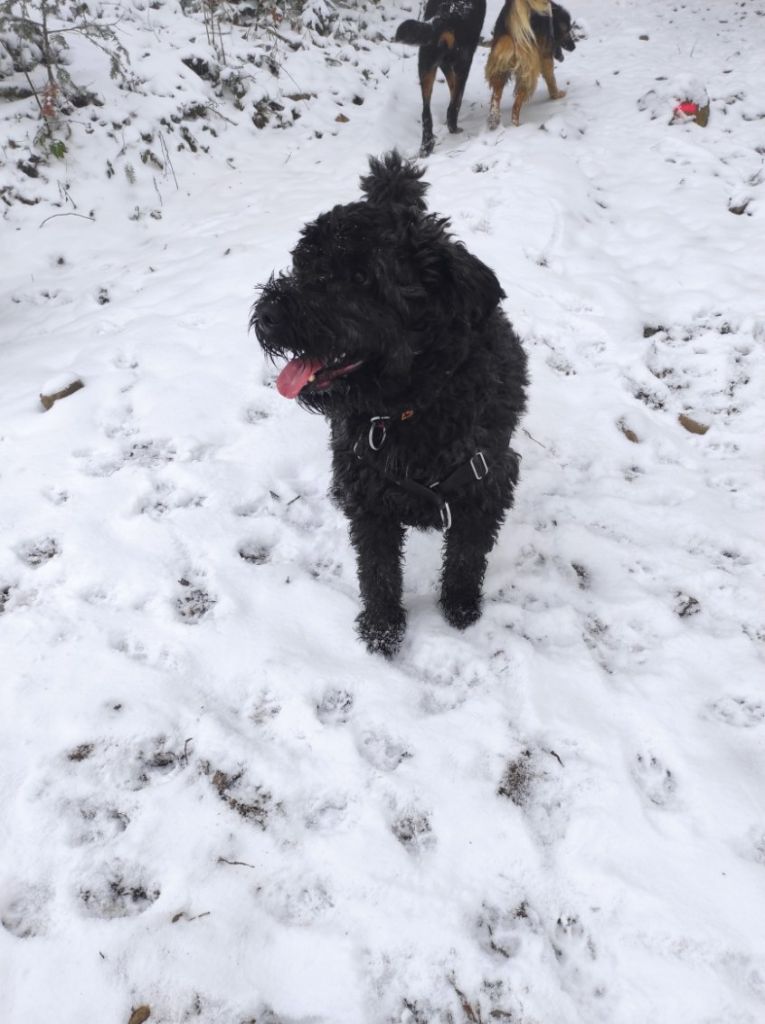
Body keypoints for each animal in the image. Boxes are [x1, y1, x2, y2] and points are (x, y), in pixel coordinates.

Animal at [250, 153, 528, 663]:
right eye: (304, 263)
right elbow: (377, 572)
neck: (412, 410)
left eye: (361, 277)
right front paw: (382, 629)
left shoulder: (486, 484)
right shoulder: (370, 500)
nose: (268, 315)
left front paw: (460, 605)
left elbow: (466, 555)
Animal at [397, 0, 487, 155]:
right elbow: (456, 93)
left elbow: (451, 85)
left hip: (426, 67)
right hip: (463, 62)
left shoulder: (443, 63)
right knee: (453, 106)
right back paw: (454, 128)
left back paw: (426, 146)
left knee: (426, 113)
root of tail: (445, 15)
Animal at [487, 0, 577, 130]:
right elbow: (551, 79)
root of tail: (512, 34)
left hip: (500, 67)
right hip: (528, 73)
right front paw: (556, 95)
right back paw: (517, 125)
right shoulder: (545, 56)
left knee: (496, 96)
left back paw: (494, 119)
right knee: (516, 105)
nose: (574, 47)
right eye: (567, 31)